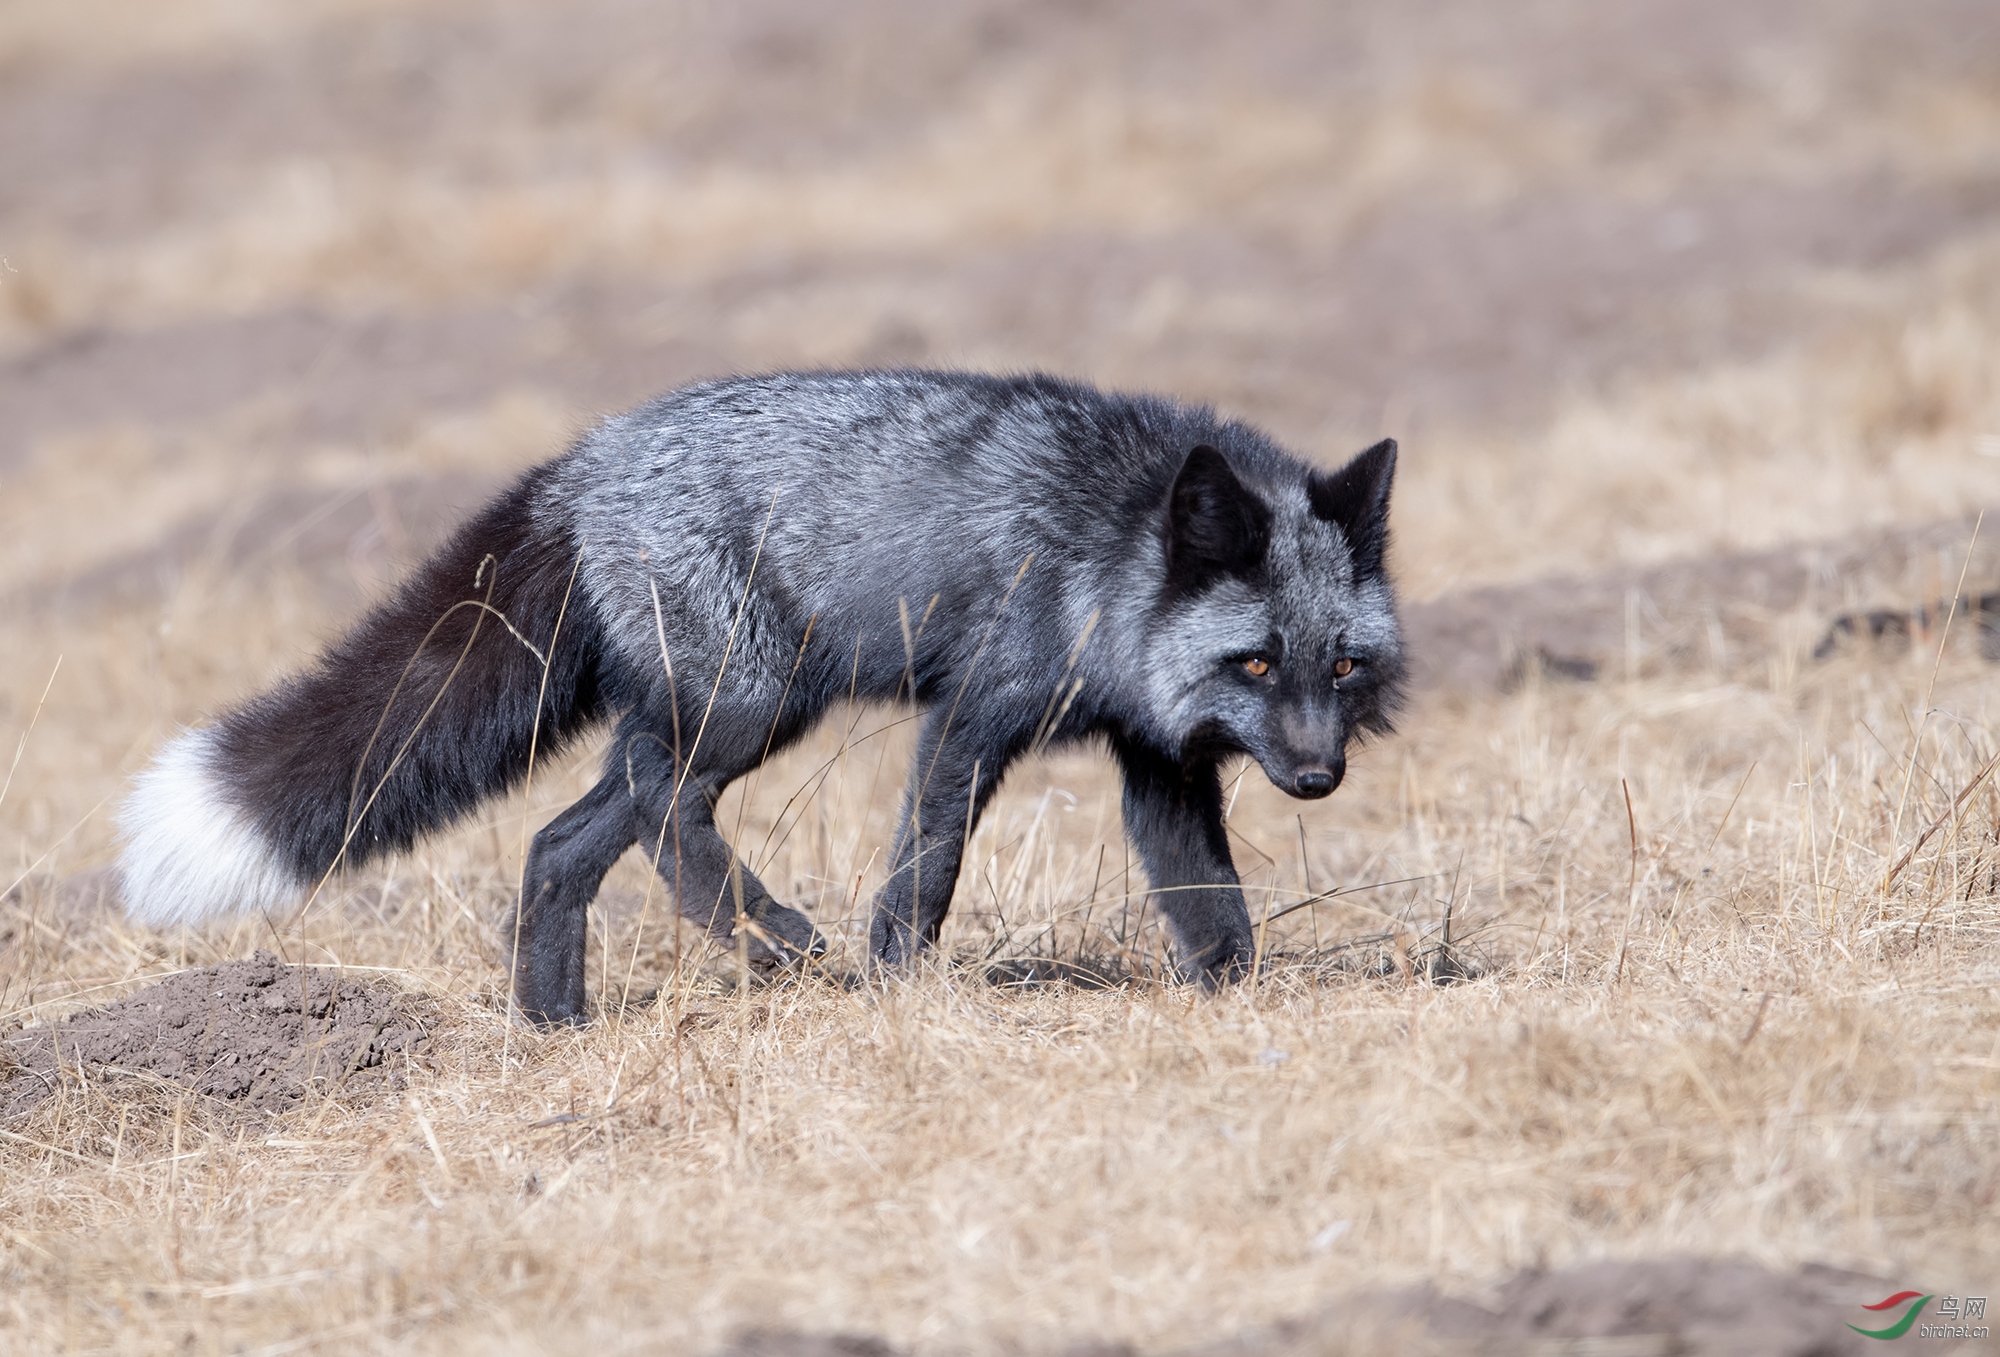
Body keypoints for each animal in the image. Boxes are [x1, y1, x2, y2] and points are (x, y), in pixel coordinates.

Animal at [121, 366, 1408, 1024]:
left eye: (1340, 663)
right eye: (1254, 660)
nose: (1315, 778)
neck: (1108, 548)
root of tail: (579, 462)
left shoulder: (1160, 759)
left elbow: (1213, 910)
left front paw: (1237, 1007)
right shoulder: (973, 713)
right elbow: (925, 869)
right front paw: (896, 987)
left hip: (711, 713)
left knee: (559, 843)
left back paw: (554, 1024)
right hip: (755, 701)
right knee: (659, 814)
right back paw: (772, 938)